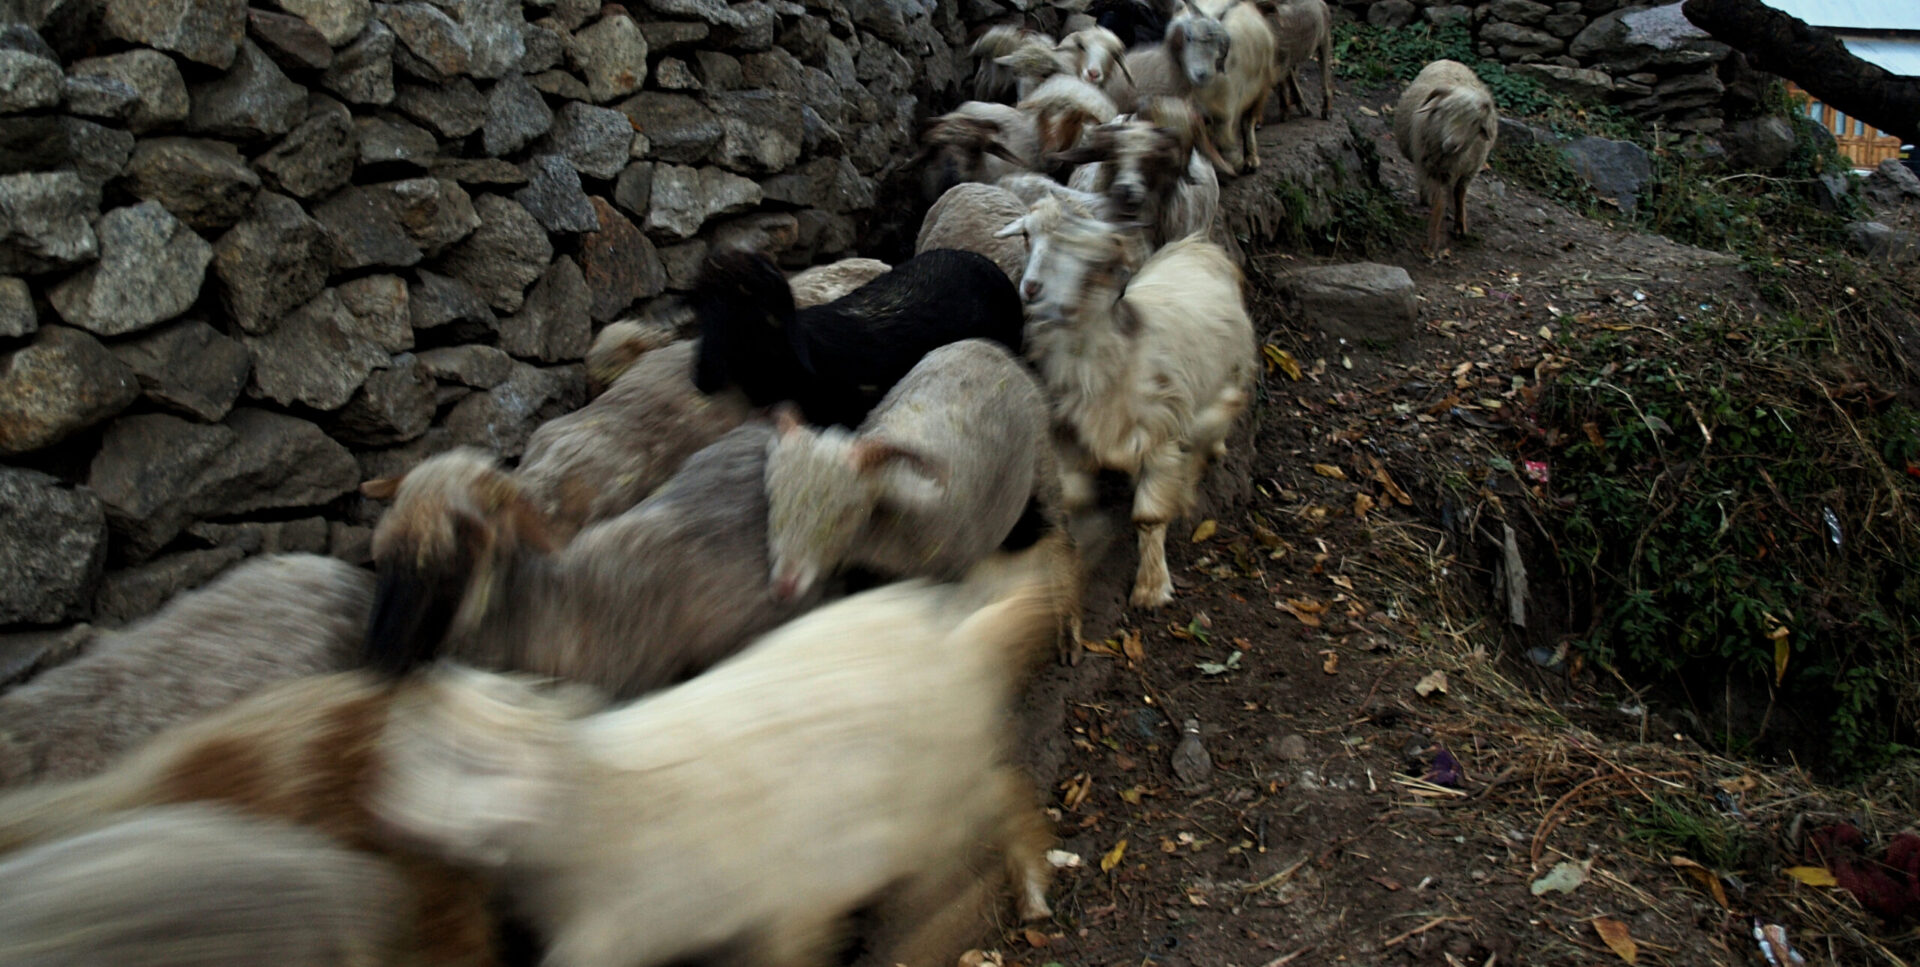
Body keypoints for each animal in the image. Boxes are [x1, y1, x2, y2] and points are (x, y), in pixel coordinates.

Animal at [990, 195, 1259, 606]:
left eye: (1089, 258)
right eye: (1026, 235)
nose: (1033, 288)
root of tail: (1196, 244)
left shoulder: (1160, 431)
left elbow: (1148, 516)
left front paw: (1151, 586)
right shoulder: (1069, 432)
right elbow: (1074, 498)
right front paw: (1085, 550)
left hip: (1231, 371)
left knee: (1222, 411)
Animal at [1397, 58, 1497, 257]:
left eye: (1474, 122)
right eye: (1444, 110)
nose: (1452, 144)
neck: (1450, 158)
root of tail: (1449, 60)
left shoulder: (1469, 171)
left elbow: (1459, 194)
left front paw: (1460, 226)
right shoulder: (1431, 168)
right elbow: (1439, 203)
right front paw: (1432, 243)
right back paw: (1424, 197)